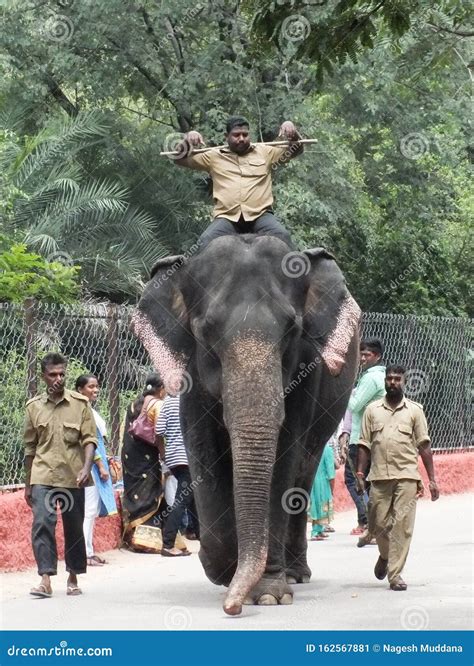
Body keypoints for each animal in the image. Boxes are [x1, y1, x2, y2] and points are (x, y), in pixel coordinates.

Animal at [131, 236, 362, 616]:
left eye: (292, 329)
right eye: (206, 331)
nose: (233, 608)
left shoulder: (306, 370)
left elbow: (284, 460)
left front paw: (268, 594)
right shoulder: (190, 375)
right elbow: (203, 451)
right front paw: (223, 571)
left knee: (304, 471)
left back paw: (296, 574)